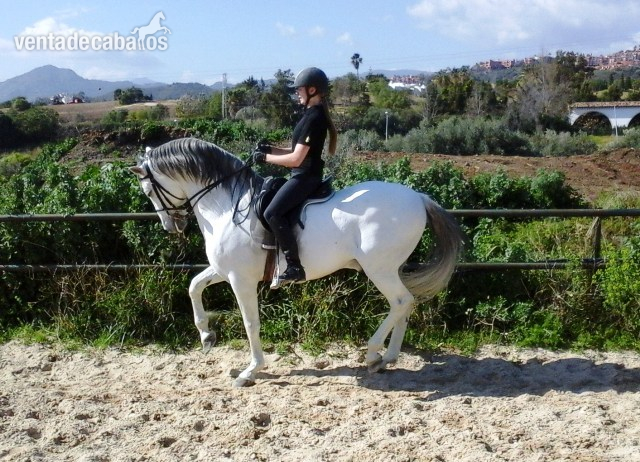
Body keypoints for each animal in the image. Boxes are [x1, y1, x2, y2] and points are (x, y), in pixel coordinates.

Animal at [130, 138, 464, 387]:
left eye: (148, 190)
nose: (171, 226)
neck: (226, 206)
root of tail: (418, 197)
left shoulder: (240, 278)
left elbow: (250, 322)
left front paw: (251, 370)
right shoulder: (225, 270)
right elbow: (193, 286)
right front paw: (206, 336)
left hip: (379, 269)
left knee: (400, 301)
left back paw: (373, 354)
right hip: (392, 268)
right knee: (406, 304)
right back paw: (389, 357)